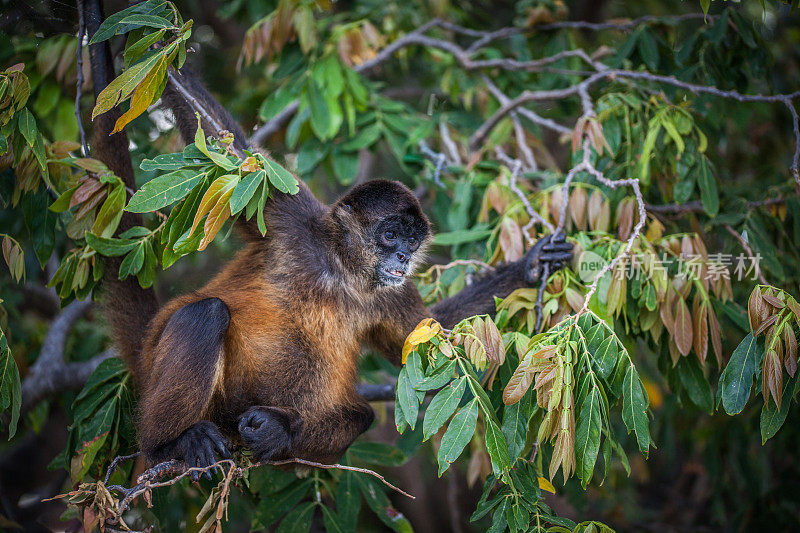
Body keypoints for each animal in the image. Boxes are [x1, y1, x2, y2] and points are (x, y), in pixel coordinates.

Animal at [97, 67, 572, 478]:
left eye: (412, 240)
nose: (404, 258)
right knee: (205, 313)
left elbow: (432, 339)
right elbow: (226, 145)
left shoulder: (390, 291)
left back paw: (276, 432)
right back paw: (170, 444)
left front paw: (533, 265)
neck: (339, 269)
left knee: (359, 415)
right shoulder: (295, 219)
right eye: (390, 235)